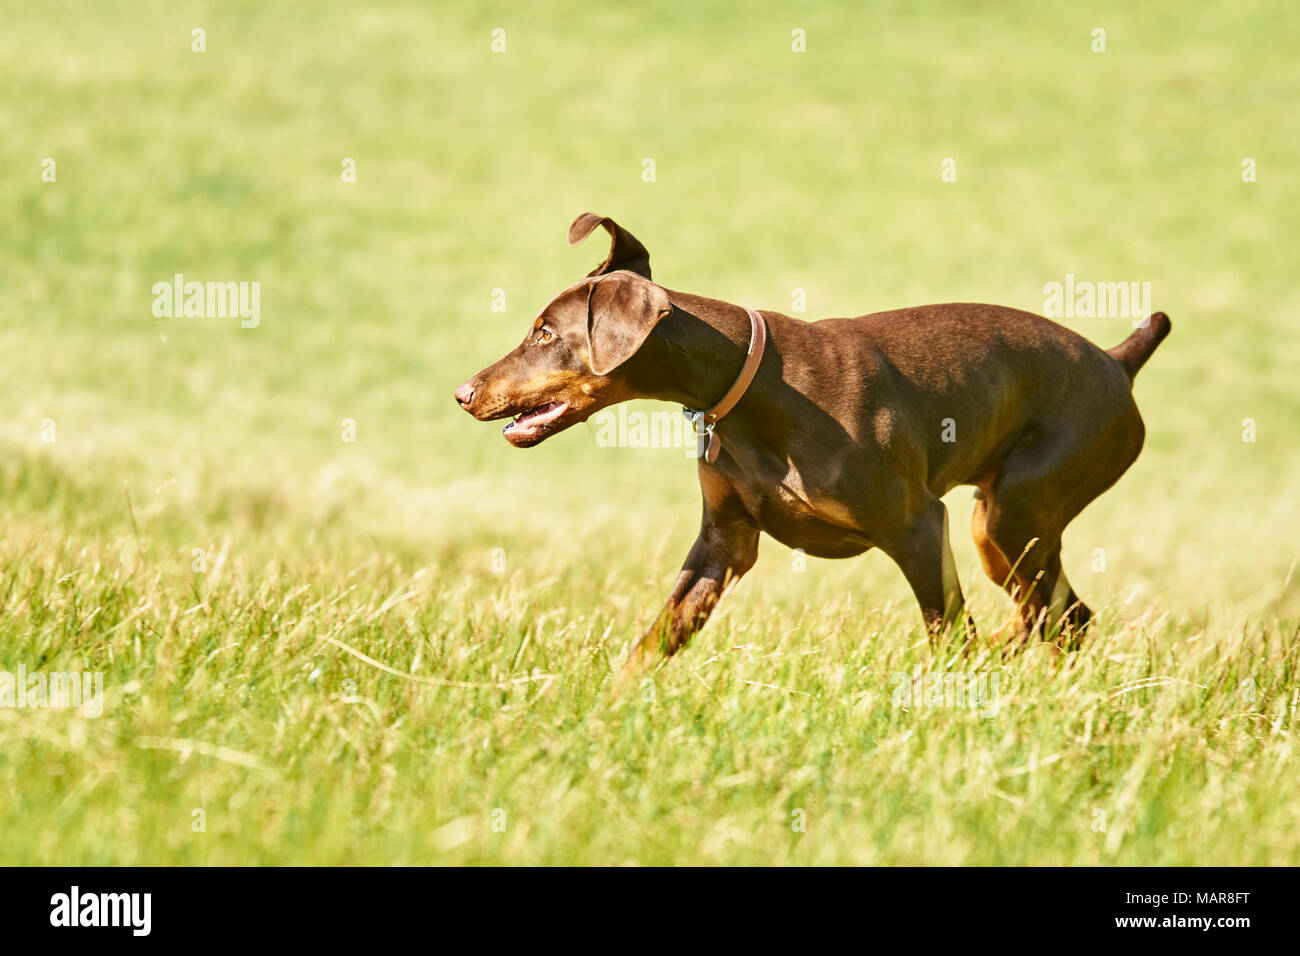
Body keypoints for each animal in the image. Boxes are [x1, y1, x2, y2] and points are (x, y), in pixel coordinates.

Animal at [454, 213, 1170, 676]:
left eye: (546, 333)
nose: (464, 391)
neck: (756, 391)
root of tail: (1118, 360)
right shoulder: (724, 543)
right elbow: (655, 640)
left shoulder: (918, 526)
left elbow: (946, 635)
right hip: (1007, 527)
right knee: (1064, 618)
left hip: (1008, 516)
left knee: (1056, 618)